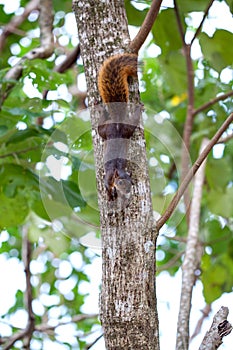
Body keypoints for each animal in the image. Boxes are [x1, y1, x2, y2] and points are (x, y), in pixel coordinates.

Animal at [97, 52, 139, 202]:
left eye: (130, 183)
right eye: (120, 182)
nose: (127, 191)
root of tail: (117, 122)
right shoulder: (110, 177)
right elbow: (107, 186)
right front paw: (110, 196)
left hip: (116, 129)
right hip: (117, 129)